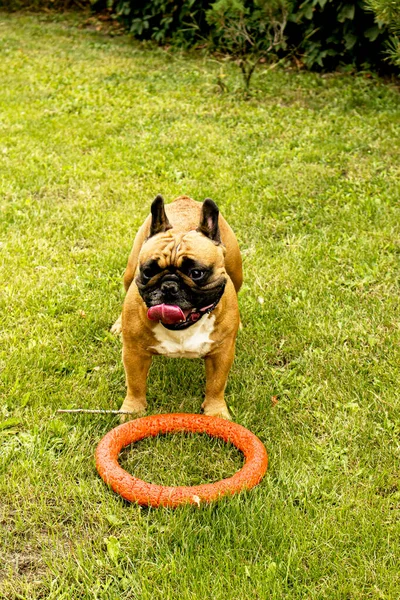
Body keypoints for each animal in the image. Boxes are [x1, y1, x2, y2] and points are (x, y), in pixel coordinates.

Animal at [114, 195, 242, 420]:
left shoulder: (221, 352)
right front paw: (133, 411)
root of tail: (185, 199)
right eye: (148, 271)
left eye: (196, 273)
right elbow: (135, 383)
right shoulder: (133, 352)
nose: (168, 285)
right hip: (129, 272)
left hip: (237, 271)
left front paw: (216, 412)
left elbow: (216, 384)